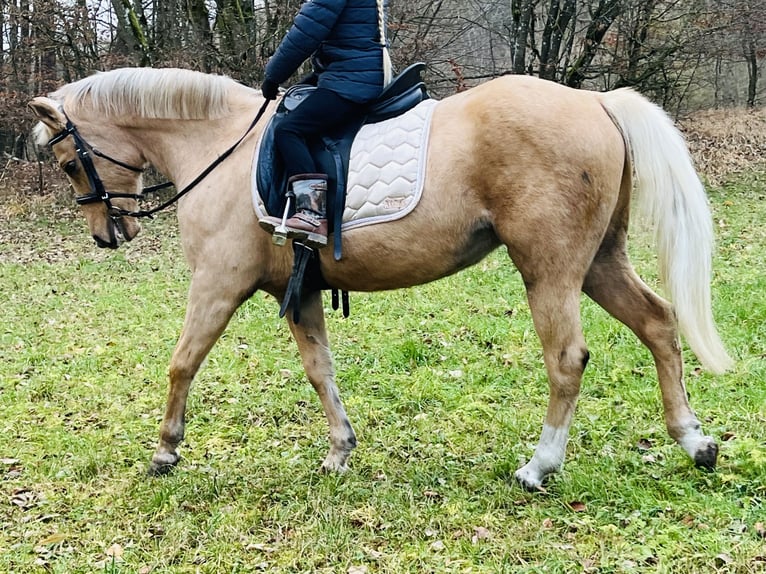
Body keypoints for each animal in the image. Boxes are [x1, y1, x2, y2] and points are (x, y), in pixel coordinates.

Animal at [28, 67, 732, 490]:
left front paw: (166, 451)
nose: (109, 234)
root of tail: (595, 102)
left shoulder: (218, 284)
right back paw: (694, 440)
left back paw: (540, 465)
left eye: (67, 163)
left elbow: (182, 363)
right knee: (658, 324)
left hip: (550, 269)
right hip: (600, 262)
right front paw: (340, 449)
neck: (220, 147)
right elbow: (320, 369)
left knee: (567, 359)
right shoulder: (299, 292)